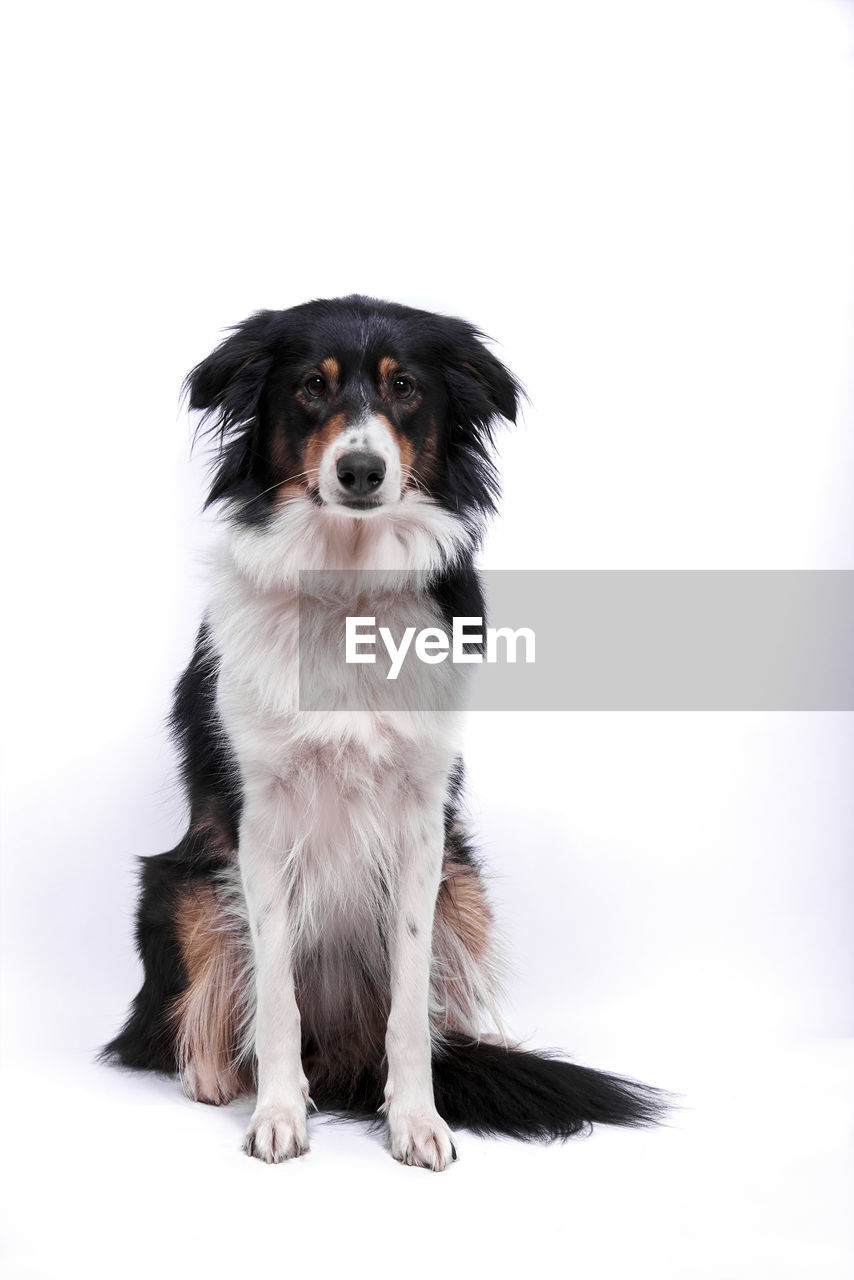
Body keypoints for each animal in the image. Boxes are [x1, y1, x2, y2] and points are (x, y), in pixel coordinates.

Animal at [103, 293, 665, 1172]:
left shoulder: (423, 823)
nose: (360, 470)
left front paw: (416, 1121)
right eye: (310, 386)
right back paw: (214, 1074)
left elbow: (409, 1000)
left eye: (404, 388)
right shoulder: (258, 821)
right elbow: (275, 997)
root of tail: (342, 1055)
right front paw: (278, 1115)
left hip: (467, 888)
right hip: (182, 883)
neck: (349, 584)